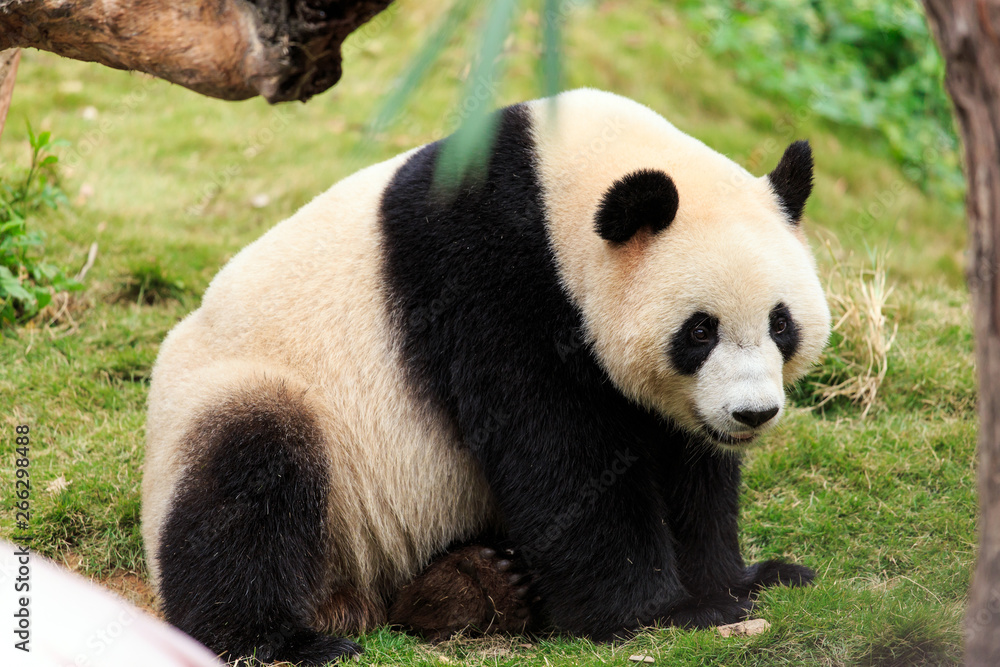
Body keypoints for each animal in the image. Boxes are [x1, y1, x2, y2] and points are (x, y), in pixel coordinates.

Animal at [142, 88, 831, 665]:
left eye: (781, 323)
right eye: (699, 331)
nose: (751, 413)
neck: (556, 186)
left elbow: (687, 465)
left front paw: (750, 581)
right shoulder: (488, 282)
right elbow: (557, 451)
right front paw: (665, 612)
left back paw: (480, 583)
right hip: (272, 417)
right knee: (250, 481)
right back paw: (286, 640)